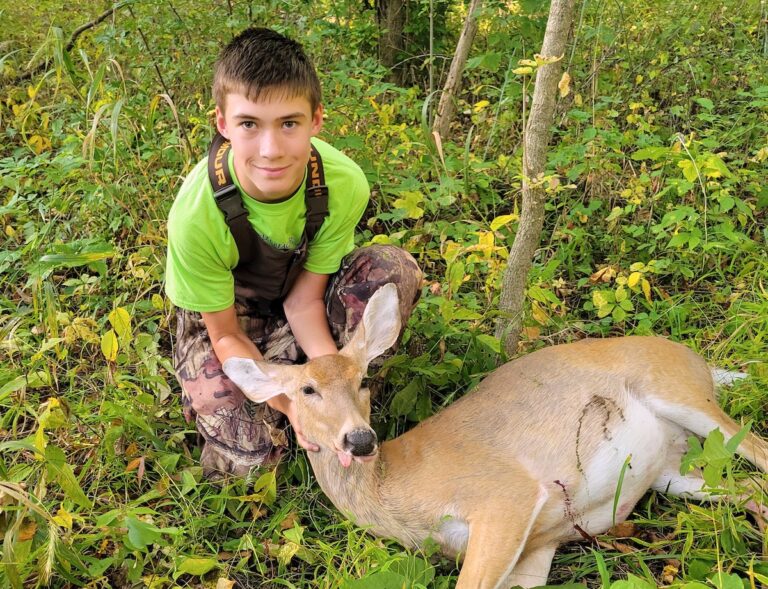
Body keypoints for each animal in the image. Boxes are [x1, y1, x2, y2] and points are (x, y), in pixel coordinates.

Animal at [223, 284, 768, 589]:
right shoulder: (539, 544)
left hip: (679, 391)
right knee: (748, 487)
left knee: (758, 450)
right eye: (307, 389)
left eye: (362, 380)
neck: (393, 490)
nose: (359, 441)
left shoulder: (506, 494)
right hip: (674, 471)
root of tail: (699, 361)